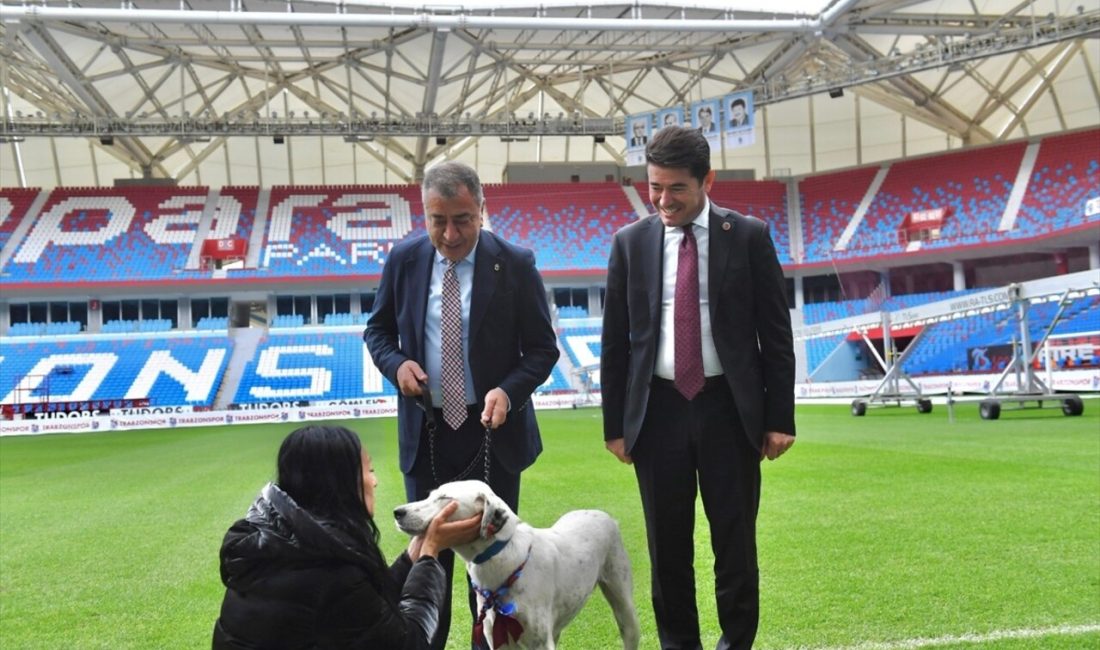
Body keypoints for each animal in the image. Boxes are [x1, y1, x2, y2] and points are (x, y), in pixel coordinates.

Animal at [396, 481, 642, 646]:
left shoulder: (539, 642)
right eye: (430, 495)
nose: (397, 512)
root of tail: (603, 515)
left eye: (444, 498)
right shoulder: (497, 638)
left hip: (625, 609)